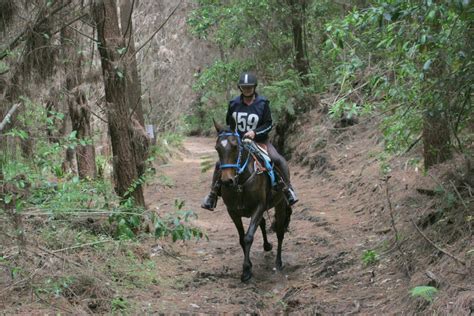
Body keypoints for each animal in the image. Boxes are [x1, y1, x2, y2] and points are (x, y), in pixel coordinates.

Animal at [213, 119, 290, 282]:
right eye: (217, 148)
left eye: (235, 146)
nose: (227, 181)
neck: (241, 182)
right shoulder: (232, 212)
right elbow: (242, 238)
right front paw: (248, 267)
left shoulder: (259, 207)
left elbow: (248, 237)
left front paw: (246, 270)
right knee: (263, 223)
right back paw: (267, 246)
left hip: (280, 204)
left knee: (280, 232)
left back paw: (279, 262)